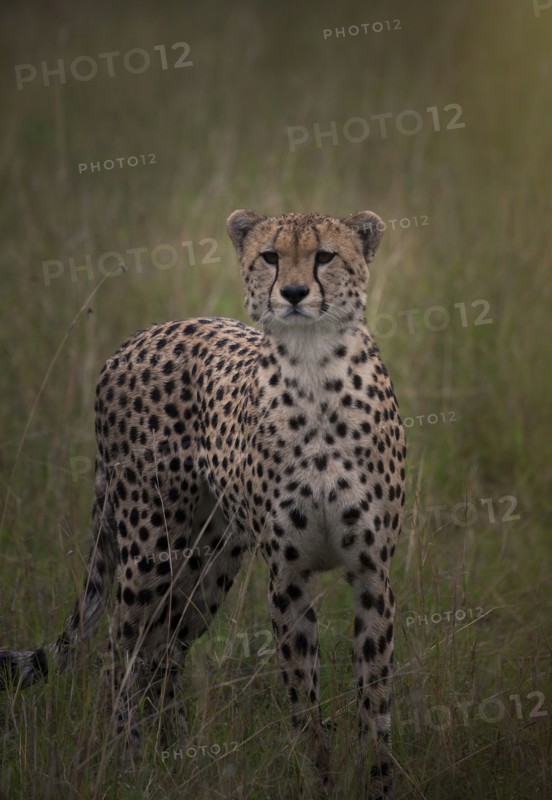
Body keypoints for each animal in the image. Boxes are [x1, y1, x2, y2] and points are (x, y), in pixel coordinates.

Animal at [1, 209, 406, 798]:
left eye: (326, 255)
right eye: (270, 256)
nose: (294, 292)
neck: (313, 367)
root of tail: (140, 335)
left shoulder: (372, 572)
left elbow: (375, 696)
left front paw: (378, 780)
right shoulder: (286, 578)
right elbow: (303, 700)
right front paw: (321, 780)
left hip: (210, 559)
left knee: (166, 648)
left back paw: (174, 756)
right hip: (150, 548)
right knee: (119, 652)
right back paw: (124, 762)